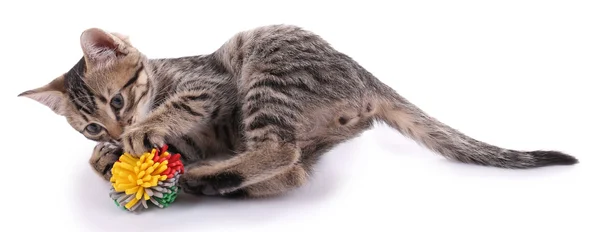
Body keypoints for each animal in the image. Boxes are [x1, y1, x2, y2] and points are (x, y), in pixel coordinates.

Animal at [18, 25, 576, 199]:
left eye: (118, 101)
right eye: (91, 124)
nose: (118, 128)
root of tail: (365, 76)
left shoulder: (210, 87)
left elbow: (177, 108)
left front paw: (140, 135)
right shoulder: (200, 134)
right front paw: (106, 155)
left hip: (266, 74)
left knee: (280, 151)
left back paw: (207, 179)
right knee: (293, 171)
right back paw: (216, 183)